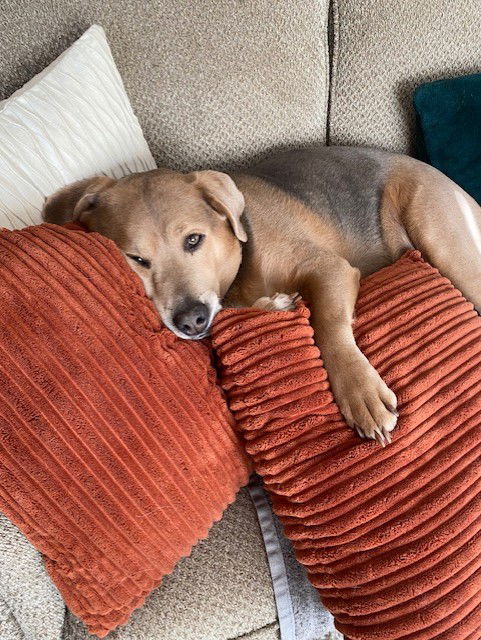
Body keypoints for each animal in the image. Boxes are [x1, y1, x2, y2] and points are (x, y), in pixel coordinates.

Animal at [42, 145, 481, 444]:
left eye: (193, 240)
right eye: (136, 259)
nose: (191, 321)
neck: (239, 269)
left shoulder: (330, 269)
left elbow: (327, 325)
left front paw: (358, 391)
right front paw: (277, 304)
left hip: (439, 238)